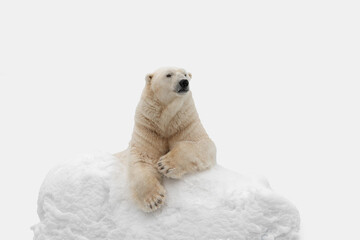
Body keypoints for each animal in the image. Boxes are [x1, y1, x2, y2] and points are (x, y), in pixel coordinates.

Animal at [116, 66, 217, 212]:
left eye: (185, 74)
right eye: (168, 74)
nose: (184, 82)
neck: (166, 122)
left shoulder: (185, 123)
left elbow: (201, 143)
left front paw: (165, 165)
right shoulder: (148, 129)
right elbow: (142, 158)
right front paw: (154, 200)